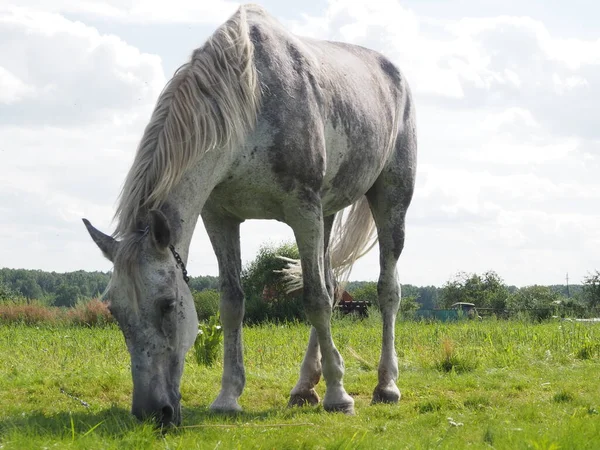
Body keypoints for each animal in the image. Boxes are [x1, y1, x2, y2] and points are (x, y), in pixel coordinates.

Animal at [83, 3, 418, 428]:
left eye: (168, 305)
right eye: (115, 311)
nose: (151, 413)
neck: (253, 102)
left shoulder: (302, 210)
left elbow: (315, 300)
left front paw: (339, 397)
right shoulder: (221, 217)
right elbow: (233, 303)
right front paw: (228, 396)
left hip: (390, 201)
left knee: (386, 290)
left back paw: (385, 386)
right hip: (326, 215)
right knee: (329, 282)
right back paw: (304, 386)